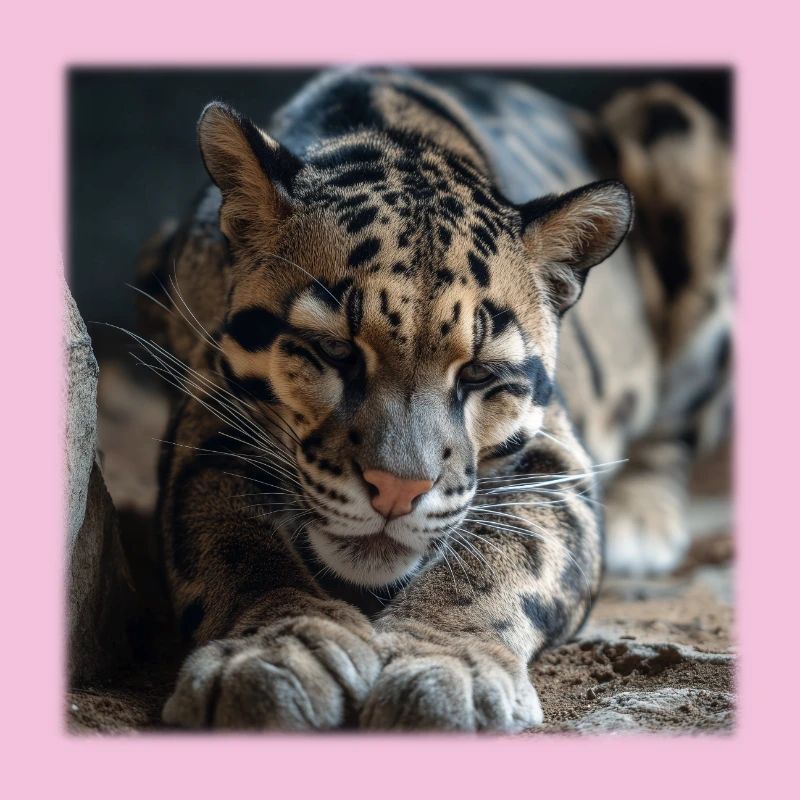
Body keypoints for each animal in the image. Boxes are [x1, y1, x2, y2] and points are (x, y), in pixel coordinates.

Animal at [134, 67, 731, 731]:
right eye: (335, 351)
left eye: (478, 374)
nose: (397, 492)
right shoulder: (207, 416)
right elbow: (231, 536)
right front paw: (276, 649)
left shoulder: (555, 454)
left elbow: (508, 550)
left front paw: (446, 663)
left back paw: (640, 520)